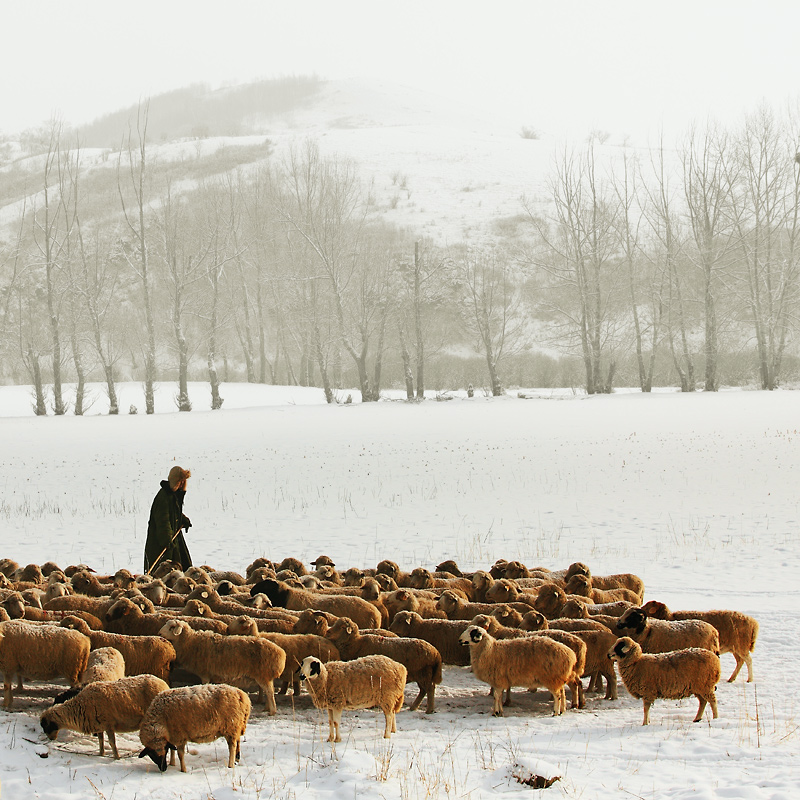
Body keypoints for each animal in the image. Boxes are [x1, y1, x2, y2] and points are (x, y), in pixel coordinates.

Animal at [40, 676, 169, 756]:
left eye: (46, 726)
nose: (51, 739)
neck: (80, 706)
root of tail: (164, 684)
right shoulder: (99, 726)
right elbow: (101, 741)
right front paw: (101, 754)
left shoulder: (108, 724)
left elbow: (112, 742)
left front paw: (116, 757)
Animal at [158, 616, 286, 716]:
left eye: (171, 627)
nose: (159, 633)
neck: (189, 641)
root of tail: (280, 653)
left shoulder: (205, 673)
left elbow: (205, 685)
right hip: (265, 676)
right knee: (268, 690)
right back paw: (267, 708)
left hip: (262, 675)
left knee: (269, 692)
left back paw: (272, 711)